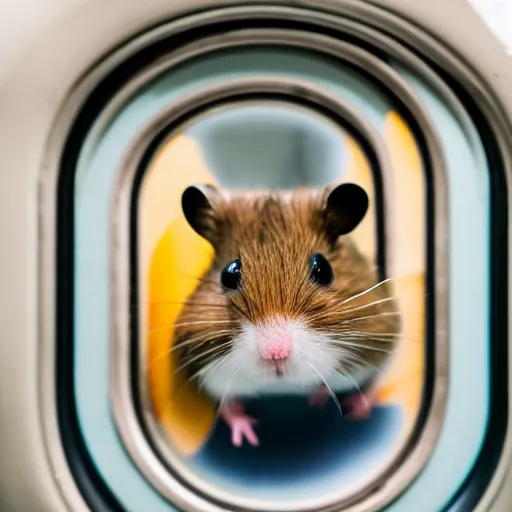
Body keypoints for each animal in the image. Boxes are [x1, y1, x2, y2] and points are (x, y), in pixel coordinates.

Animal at [174, 182, 402, 446]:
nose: (275, 353)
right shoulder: (211, 372)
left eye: (323, 270)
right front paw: (248, 438)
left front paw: (329, 403)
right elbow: (228, 408)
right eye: (228, 274)